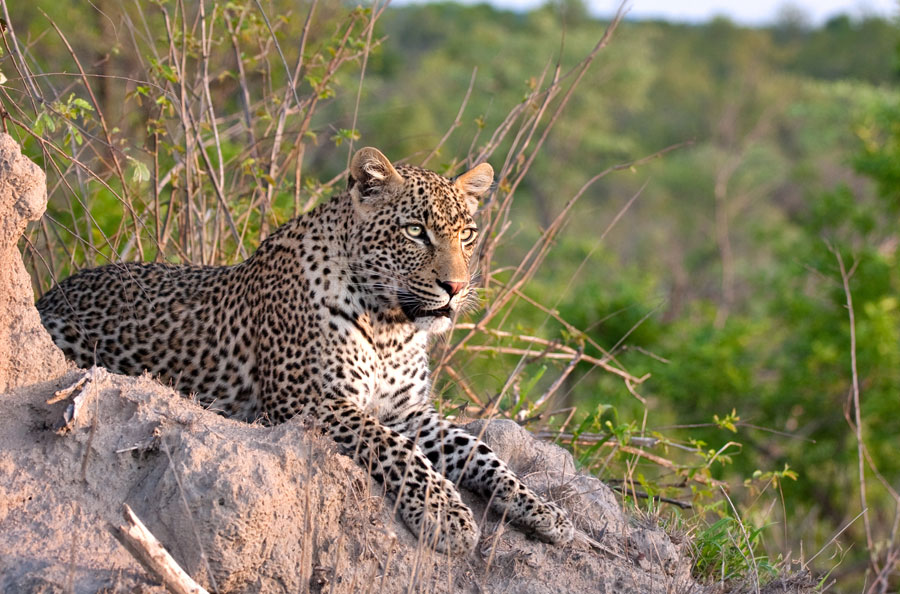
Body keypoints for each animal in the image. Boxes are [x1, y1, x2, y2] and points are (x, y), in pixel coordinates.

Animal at [38, 146, 572, 552]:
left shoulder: (410, 412)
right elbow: (396, 449)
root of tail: (48, 293)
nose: (456, 287)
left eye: (467, 235)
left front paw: (543, 510)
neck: (391, 327)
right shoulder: (311, 402)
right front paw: (446, 514)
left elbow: (480, 450)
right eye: (415, 231)